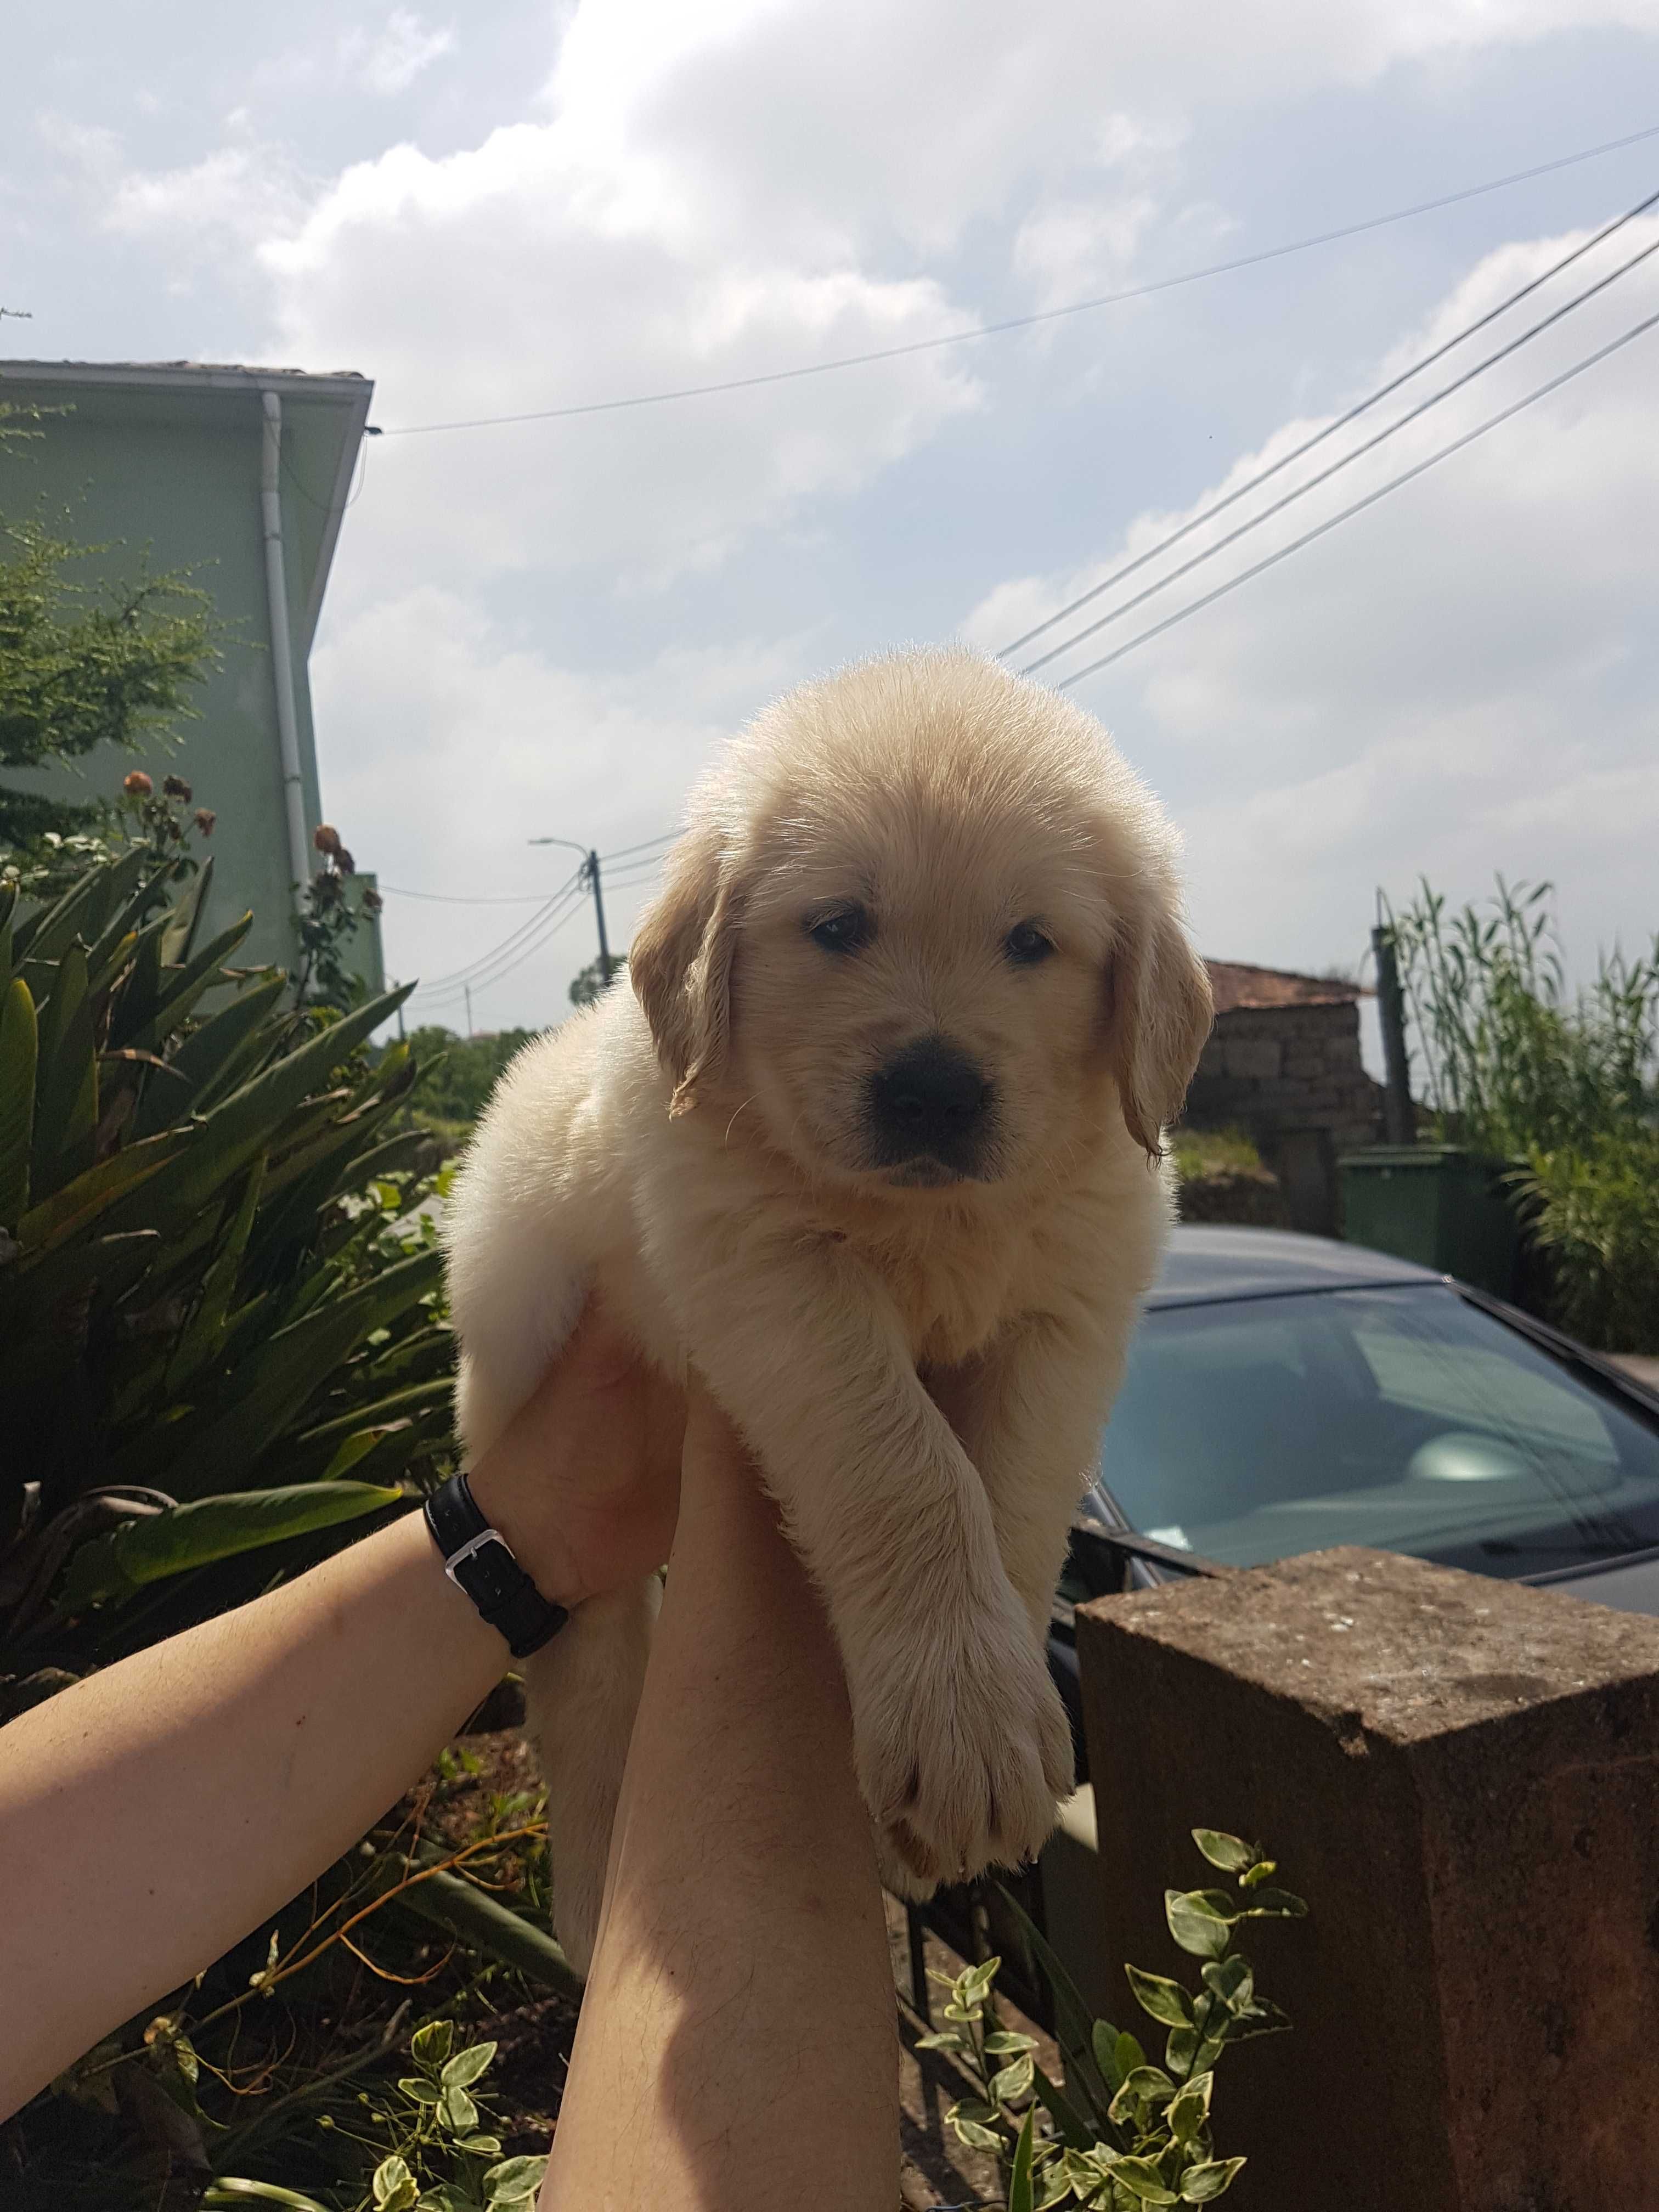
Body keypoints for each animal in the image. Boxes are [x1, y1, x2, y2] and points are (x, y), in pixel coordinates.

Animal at [449, 641, 1212, 1973]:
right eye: (839, 926)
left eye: (1032, 942)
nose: (933, 1091)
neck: (930, 1221)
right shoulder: (771, 1278)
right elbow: (901, 1464)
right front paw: (960, 1717)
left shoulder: (1068, 1316)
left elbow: (1012, 1497)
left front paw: (977, 1731)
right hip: (517, 1392)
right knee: (590, 1699)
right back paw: (592, 1901)